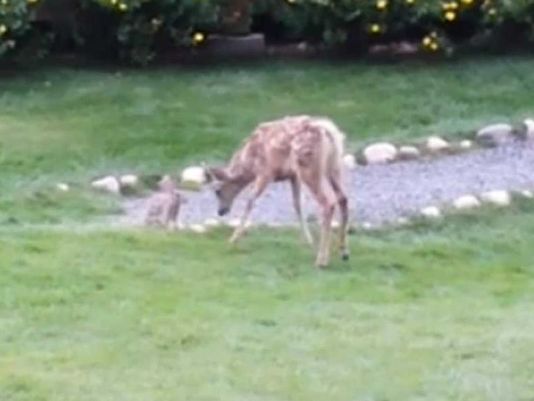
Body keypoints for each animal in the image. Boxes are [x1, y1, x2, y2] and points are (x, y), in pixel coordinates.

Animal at [206, 114, 352, 268]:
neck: (249, 163)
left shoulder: (266, 172)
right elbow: (297, 205)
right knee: (343, 198)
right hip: (334, 166)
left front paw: (233, 238)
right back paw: (344, 252)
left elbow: (251, 200)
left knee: (328, 202)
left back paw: (322, 260)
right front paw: (308, 240)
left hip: (309, 166)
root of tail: (329, 132)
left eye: (217, 191)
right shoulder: (293, 175)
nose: (220, 211)